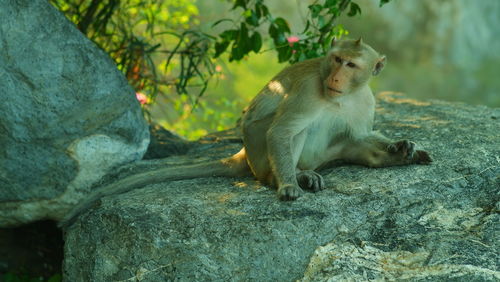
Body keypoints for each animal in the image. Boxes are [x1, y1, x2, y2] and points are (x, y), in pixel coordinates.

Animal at [58, 37, 432, 227]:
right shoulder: (309, 91)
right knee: (285, 133)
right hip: (258, 150)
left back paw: (397, 159)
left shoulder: (365, 101)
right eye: (337, 59)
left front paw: (402, 146)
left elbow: (359, 135)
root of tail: (243, 154)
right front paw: (287, 186)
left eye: (351, 65)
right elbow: (281, 133)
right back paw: (295, 176)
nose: (337, 77)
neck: (342, 94)